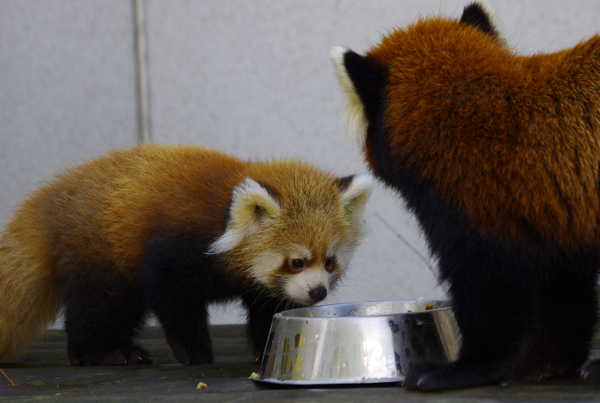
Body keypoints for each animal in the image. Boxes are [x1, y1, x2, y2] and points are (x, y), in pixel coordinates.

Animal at [0, 144, 370, 366]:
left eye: (329, 261)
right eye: (297, 262)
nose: (317, 291)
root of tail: (56, 196)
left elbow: (269, 308)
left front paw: (267, 346)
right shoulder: (174, 247)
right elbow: (174, 301)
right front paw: (193, 351)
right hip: (99, 250)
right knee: (100, 305)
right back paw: (105, 352)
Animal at [330, 0, 600, 392]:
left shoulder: (476, 204)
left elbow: (490, 295)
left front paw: (462, 370)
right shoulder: (554, 213)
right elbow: (565, 292)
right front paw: (548, 362)